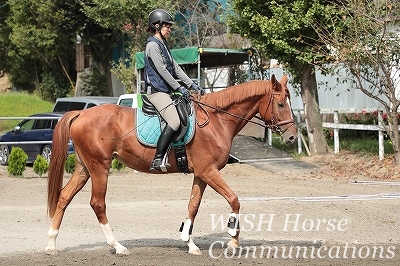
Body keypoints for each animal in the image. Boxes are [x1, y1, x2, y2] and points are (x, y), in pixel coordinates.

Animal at [45, 74, 298, 256]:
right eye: (281, 104)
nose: (293, 137)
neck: (217, 120)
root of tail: (81, 114)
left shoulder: (201, 174)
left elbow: (193, 205)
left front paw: (189, 242)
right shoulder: (209, 171)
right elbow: (234, 199)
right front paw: (233, 241)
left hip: (84, 168)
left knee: (64, 196)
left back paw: (51, 244)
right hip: (100, 167)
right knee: (97, 203)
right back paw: (117, 246)